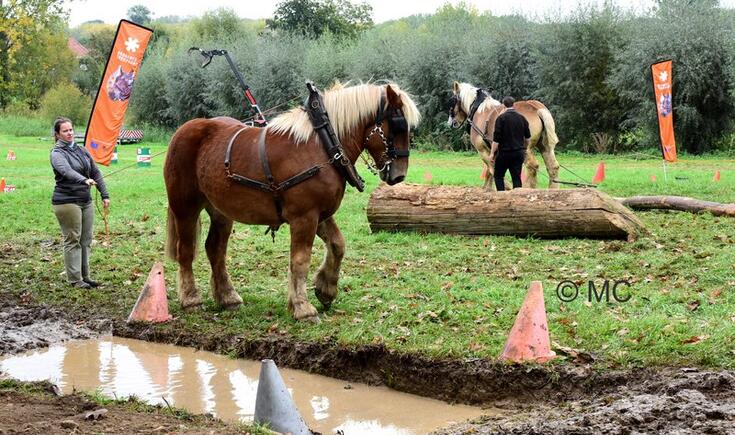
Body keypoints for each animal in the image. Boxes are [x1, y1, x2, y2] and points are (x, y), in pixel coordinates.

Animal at [164, 82, 420, 322]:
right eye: (398, 124)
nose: (399, 175)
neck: (323, 145)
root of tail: (183, 130)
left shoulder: (320, 214)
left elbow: (337, 245)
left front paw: (325, 289)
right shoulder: (304, 217)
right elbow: (300, 260)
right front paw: (302, 308)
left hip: (221, 210)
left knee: (215, 249)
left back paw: (228, 297)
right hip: (185, 206)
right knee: (185, 250)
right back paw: (191, 299)